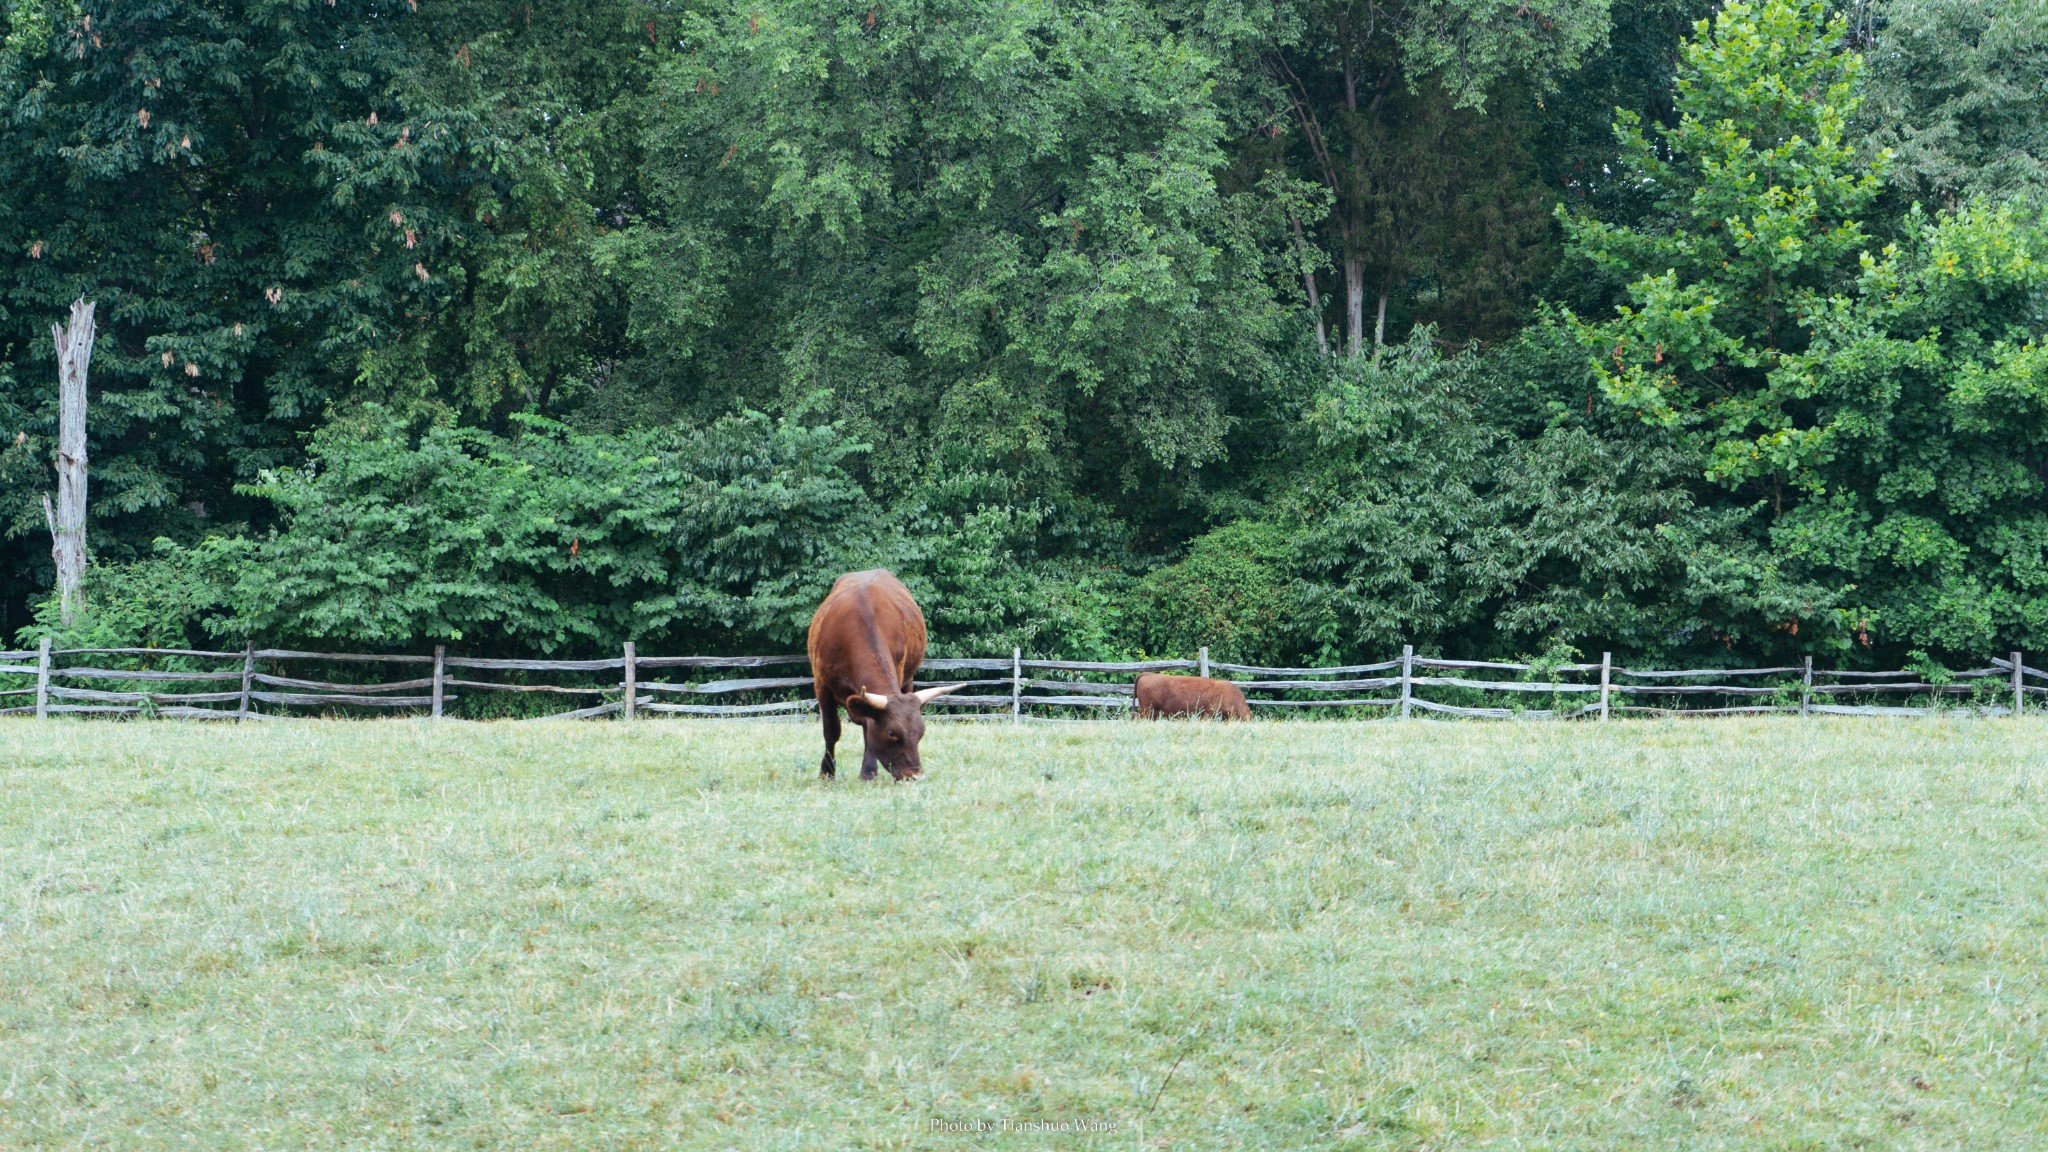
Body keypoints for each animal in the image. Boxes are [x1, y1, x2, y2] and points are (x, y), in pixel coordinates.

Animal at [806, 565, 958, 774]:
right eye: (891, 733)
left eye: (921, 733)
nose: (915, 775)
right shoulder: (822, 685)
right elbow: (831, 730)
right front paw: (827, 773)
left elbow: (868, 727)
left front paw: (868, 772)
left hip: (908, 679)